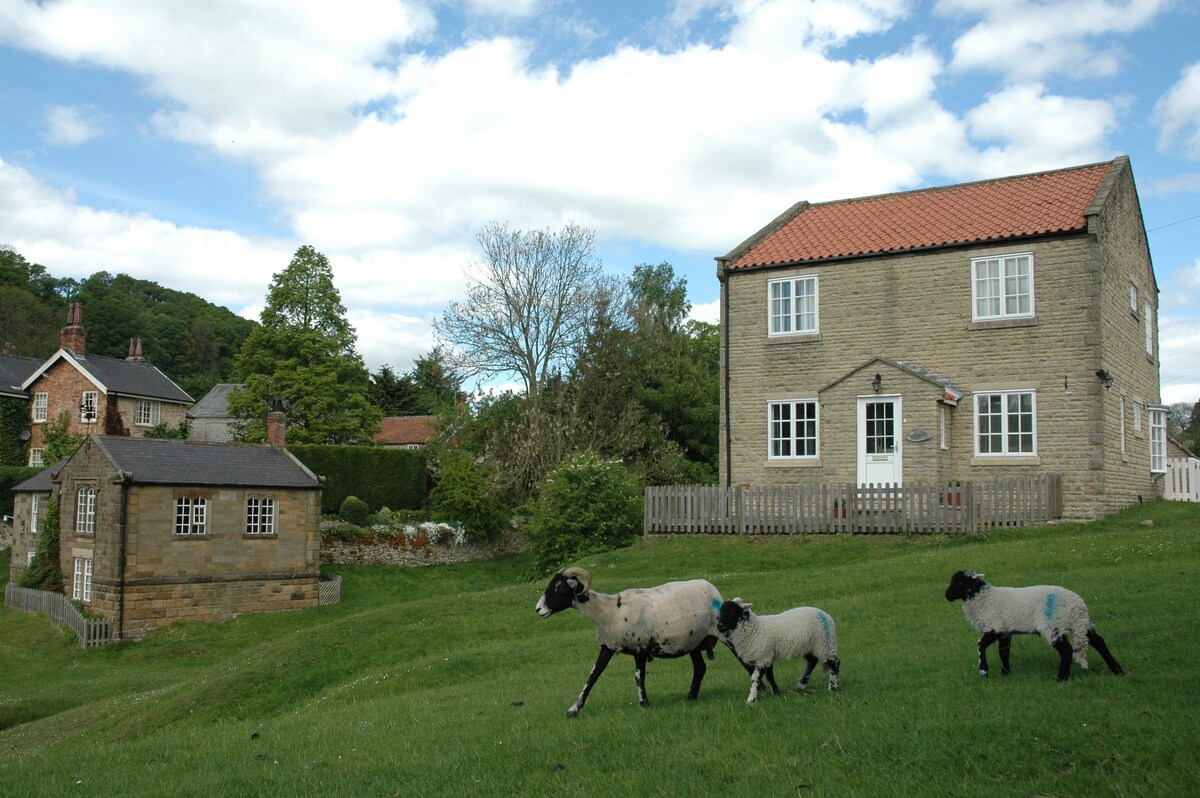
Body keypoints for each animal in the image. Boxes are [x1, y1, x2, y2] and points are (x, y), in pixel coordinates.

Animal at [535, 566, 720, 715]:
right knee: (700, 667)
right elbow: (592, 676)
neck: (609, 612)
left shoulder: (640, 648)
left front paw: (644, 704)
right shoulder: (607, 646)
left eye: (560, 587)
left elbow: (639, 677)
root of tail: (710, 586)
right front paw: (573, 709)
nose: (538, 609)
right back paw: (690, 697)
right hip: (693, 641)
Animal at [945, 568, 1123, 681]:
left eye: (959, 583)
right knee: (1099, 642)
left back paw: (1060, 679)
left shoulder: (994, 627)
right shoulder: (1004, 631)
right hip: (1083, 624)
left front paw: (984, 671)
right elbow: (1004, 651)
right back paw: (1117, 670)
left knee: (1066, 650)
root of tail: (1077, 606)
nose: (947, 596)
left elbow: (980, 645)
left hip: (1053, 626)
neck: (984, 599)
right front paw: (1005, 673)